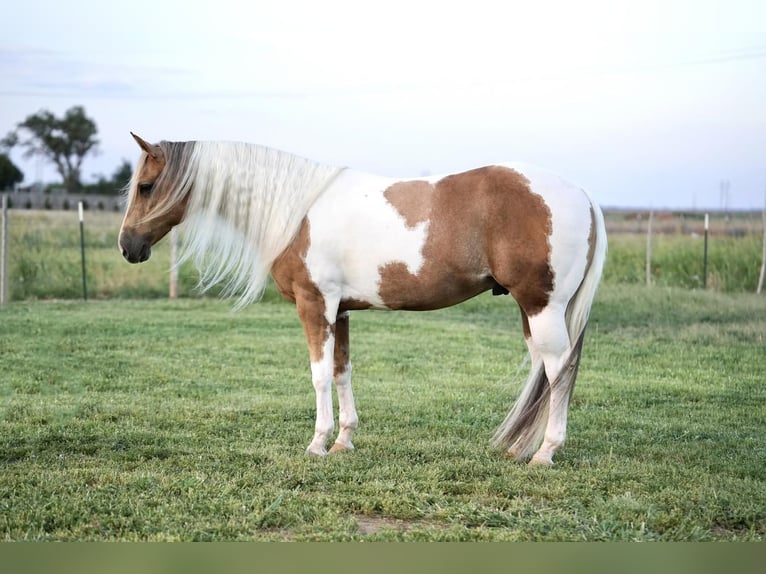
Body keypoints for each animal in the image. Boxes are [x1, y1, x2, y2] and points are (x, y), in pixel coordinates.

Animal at [120, 133, 608, 466]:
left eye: (145, 186)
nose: (128, 247)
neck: (297, 210)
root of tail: (583, 194)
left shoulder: (314, 305)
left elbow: (318, 376)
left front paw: (317, 443)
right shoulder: (340, 310)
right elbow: (341, 372)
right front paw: (343, 440)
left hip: (542, 305)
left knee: (558, 371)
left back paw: (545, 453)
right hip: (531, 310)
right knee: (542, 371)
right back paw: (520, 448)